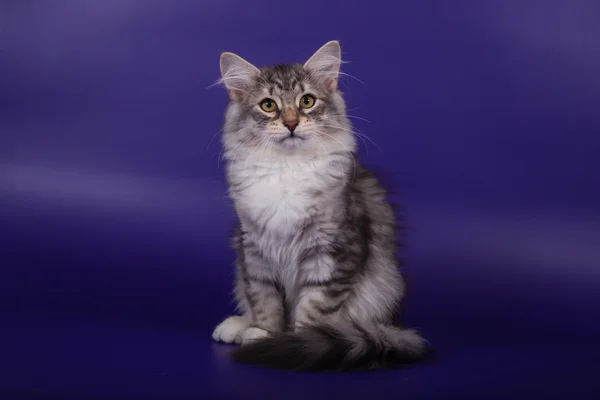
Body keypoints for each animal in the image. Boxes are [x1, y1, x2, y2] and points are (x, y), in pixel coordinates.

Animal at [213, 40, 428, 372]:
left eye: (307, 101)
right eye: (268, 105)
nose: (291, 123)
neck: (286, 169)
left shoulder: (331, 251)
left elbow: (315, 309)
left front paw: (298, 343)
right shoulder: (254, 248)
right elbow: (263, 299)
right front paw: (263, 332)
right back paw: (237, 326)